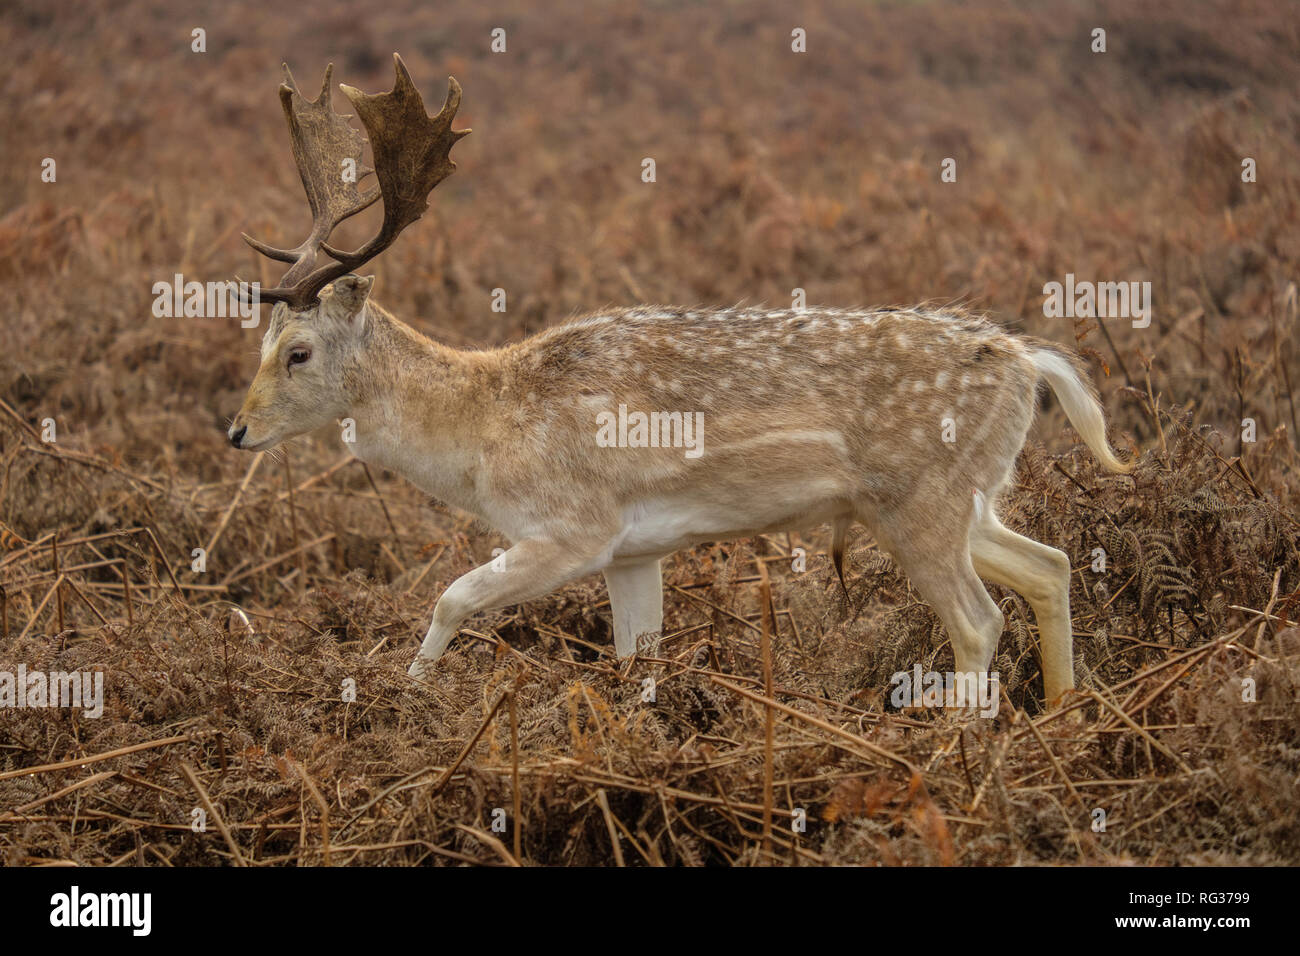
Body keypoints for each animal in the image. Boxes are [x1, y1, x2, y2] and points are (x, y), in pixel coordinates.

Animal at [228, 55, 1132, 707]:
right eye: (259, 338)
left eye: (297, 351)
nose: (237, 430)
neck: (484, 436)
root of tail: (1028, 360)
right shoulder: (636, 550)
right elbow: (638, 660)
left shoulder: (575, 527)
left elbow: (452, 595)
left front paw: (406, 695)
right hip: (961, 496)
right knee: (1050, 565)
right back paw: (1061, 717)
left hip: (923, 499)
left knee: (980, 622)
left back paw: (960, 750)